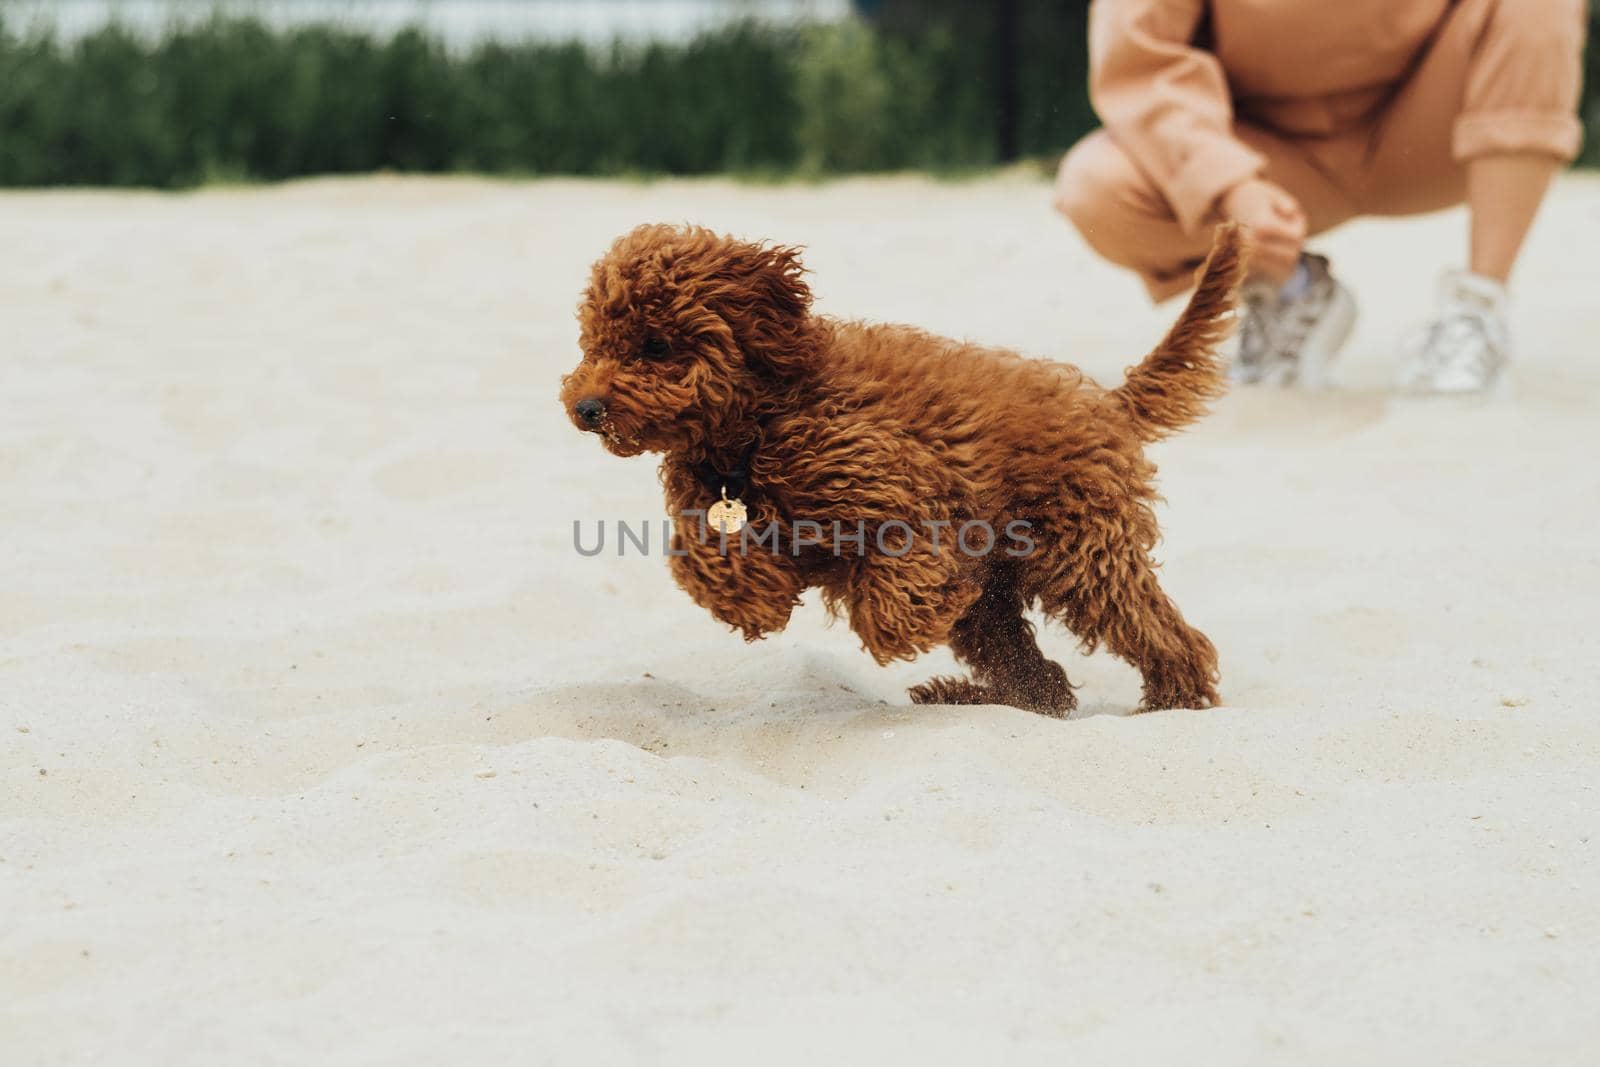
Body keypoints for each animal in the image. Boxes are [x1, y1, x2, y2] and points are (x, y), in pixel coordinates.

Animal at [563, 222, 1248, 716]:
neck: (762, 422)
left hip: (1084, 558)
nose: (586, 409)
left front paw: (900, 619)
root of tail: (1107, 401)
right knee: (1041, 679)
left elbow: (895, 585)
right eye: (594, 345)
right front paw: (756, 599)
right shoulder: (714, 501)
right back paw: (974, 699)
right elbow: (705, 558)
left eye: (655, 345)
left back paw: (1172, 702)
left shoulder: (897, 491)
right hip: (1003, 603)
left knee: (1162, 635)